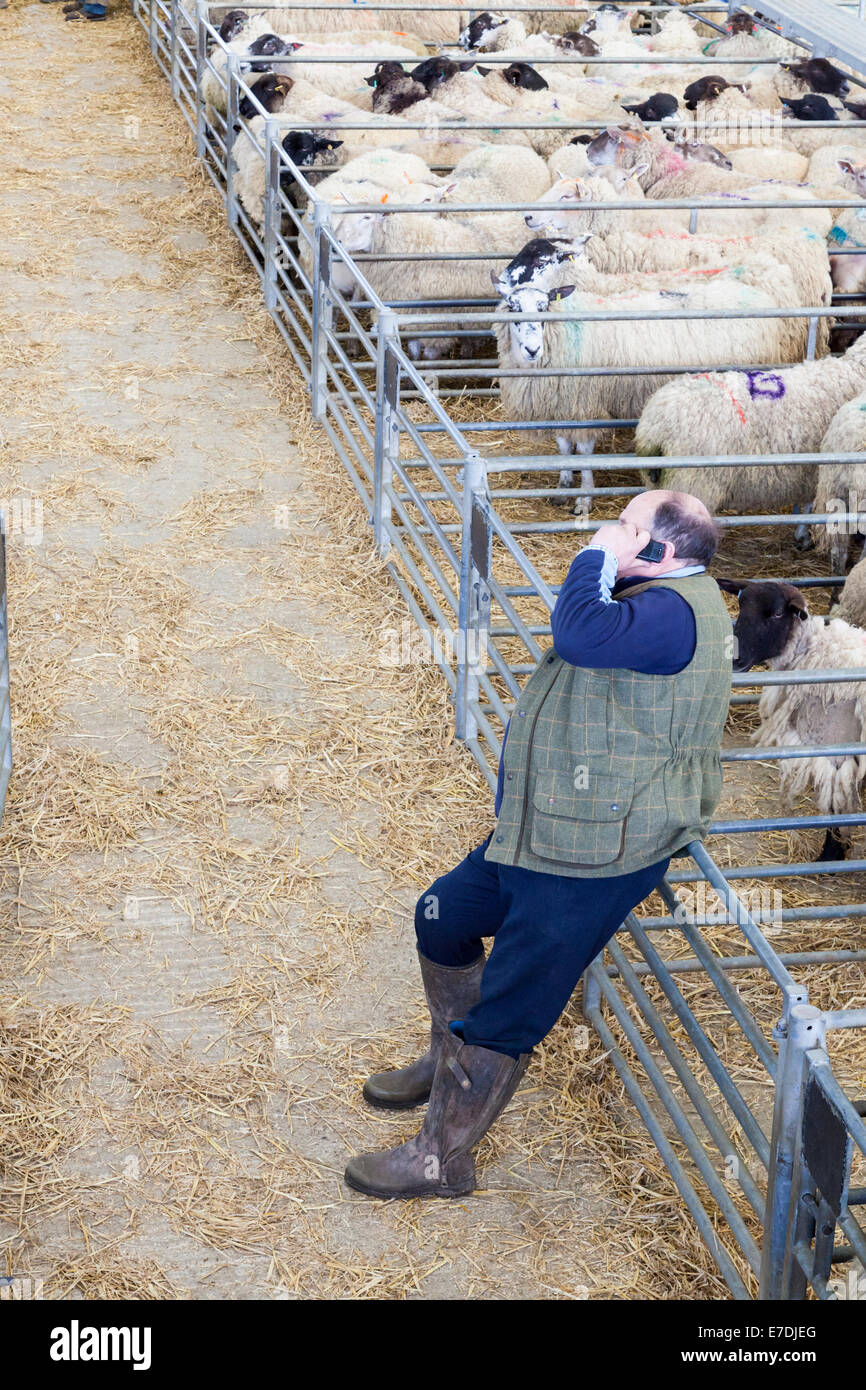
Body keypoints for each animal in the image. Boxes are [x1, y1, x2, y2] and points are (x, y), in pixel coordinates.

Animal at [722, 572, 866, 856]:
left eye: (777, 614)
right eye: (741, 607)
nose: (735, 661)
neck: (814, 652)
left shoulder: (836, 749)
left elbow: (836, 807)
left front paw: (832, 853)